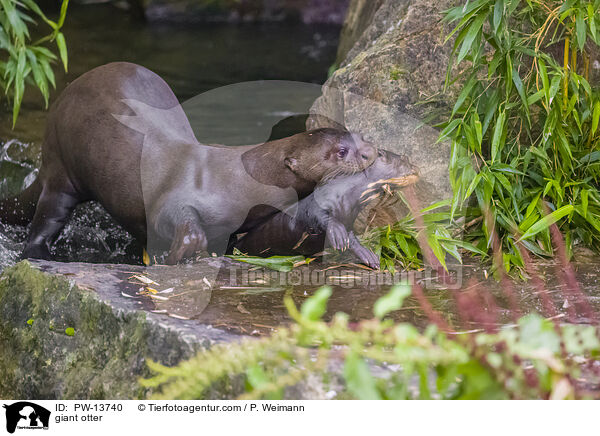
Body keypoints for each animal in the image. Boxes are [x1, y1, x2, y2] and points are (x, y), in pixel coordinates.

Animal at [0, 63, 376, 264]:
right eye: (341, 151)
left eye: (356, 136)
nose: (371, 152)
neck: (236, 181)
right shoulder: (178, 196)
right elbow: (179, 219)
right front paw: (184, 252)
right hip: (62, 168)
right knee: (47, 214)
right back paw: (37, 253)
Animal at [229, 148, 418, 268]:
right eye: (405, 160)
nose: (416, 169)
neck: (347, 196)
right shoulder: (317, 203)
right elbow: (319, 216)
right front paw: (337, 233)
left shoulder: (349, 218)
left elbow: (351, 237)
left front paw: (368, 255)